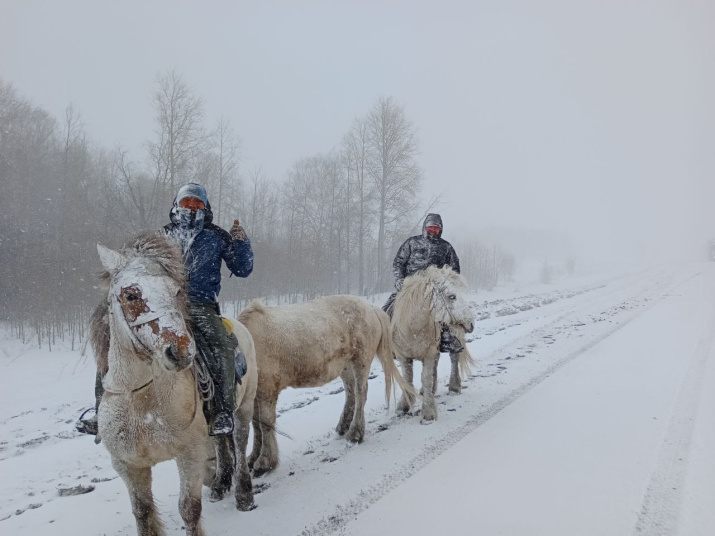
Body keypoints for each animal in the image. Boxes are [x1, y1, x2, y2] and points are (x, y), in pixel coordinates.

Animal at [91, 233, 256, 536]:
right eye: (131, 295)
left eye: (178, 291)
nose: (180, 351)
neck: (142, 400)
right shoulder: (128, 466)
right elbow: (143, 514)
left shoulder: (189, 455)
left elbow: (189, 509)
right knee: (221, 442)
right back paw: (220, 484)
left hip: (244, 408)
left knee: (239, 443)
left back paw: (244, 495)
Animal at [392, 266, 476, 426]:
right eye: (452, 296)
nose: (471, 323)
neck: (413, 329)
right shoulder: (403, 357)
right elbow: (407, 378)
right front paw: (404, 405)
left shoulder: (428, 354)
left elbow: (425, 377)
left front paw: (428, 413)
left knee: (453, 359)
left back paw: (454, 387)